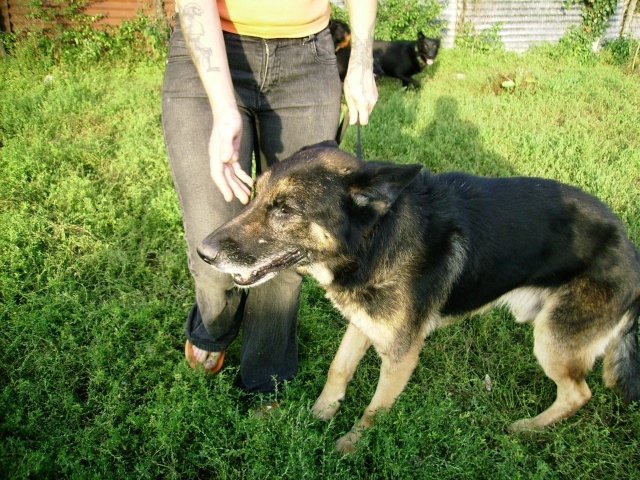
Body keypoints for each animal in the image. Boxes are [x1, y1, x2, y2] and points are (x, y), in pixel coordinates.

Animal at [199, 144, 640, 452]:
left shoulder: (402, 354)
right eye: (255, 194)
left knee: (578, 393)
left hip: (553, 340)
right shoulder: (364, 323)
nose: (203, 252)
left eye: (286, 209)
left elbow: (375, 409)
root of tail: (631, 251)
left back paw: (526, 428)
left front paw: (349, 446)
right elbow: (338, 370)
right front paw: (319, 415)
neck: (374, 240)